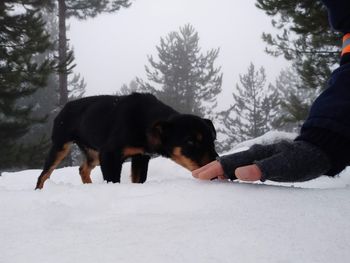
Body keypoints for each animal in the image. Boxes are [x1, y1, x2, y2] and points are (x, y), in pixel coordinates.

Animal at [34, 93, 216, 190]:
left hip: (93, 153)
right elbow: (113, 179)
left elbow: (138, 179)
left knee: (83, 169)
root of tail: (64, 107)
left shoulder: (141, 156)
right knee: (44, 174)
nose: (215, 162)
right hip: (60, 145)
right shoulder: (110, 154)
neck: (144, 123)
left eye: (213, 139)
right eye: (190, 142)